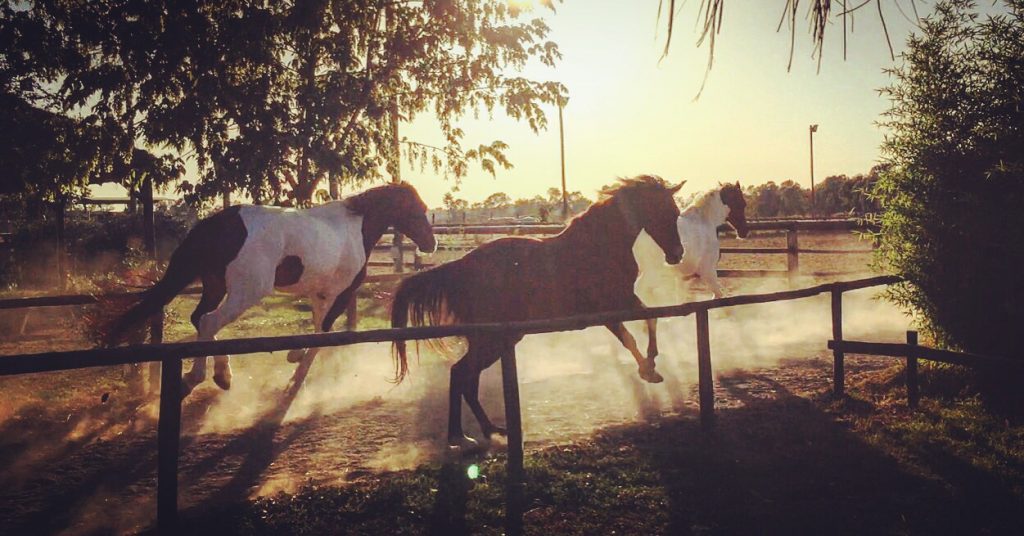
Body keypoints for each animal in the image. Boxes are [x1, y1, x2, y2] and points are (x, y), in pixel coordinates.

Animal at [104, 180, 436, 393]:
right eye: (418, 209)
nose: (431, 244)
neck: (355, 228)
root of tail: (219, 221)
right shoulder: (341, 295)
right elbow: (323, 333)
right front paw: (297, 370)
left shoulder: (320, 295)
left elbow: (317, 328)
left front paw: (296, 358)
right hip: (247, 291)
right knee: (209, 321)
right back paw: (198, 377)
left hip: (216, 287)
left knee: (200, 319)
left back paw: (223, 376)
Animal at [391, 176, 688, 448]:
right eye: (667, 213)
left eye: (675, 213)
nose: (677, 255)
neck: (598, 245)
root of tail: (461, 267)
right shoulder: (611, 305)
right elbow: (637, 331)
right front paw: (648, 368)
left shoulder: (620, 303)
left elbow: (648, 321)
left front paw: (650, 369)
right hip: (491, 340)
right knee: (462, 374)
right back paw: (463, 436)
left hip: (496, 339)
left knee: (465, 377)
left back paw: (485, 431)